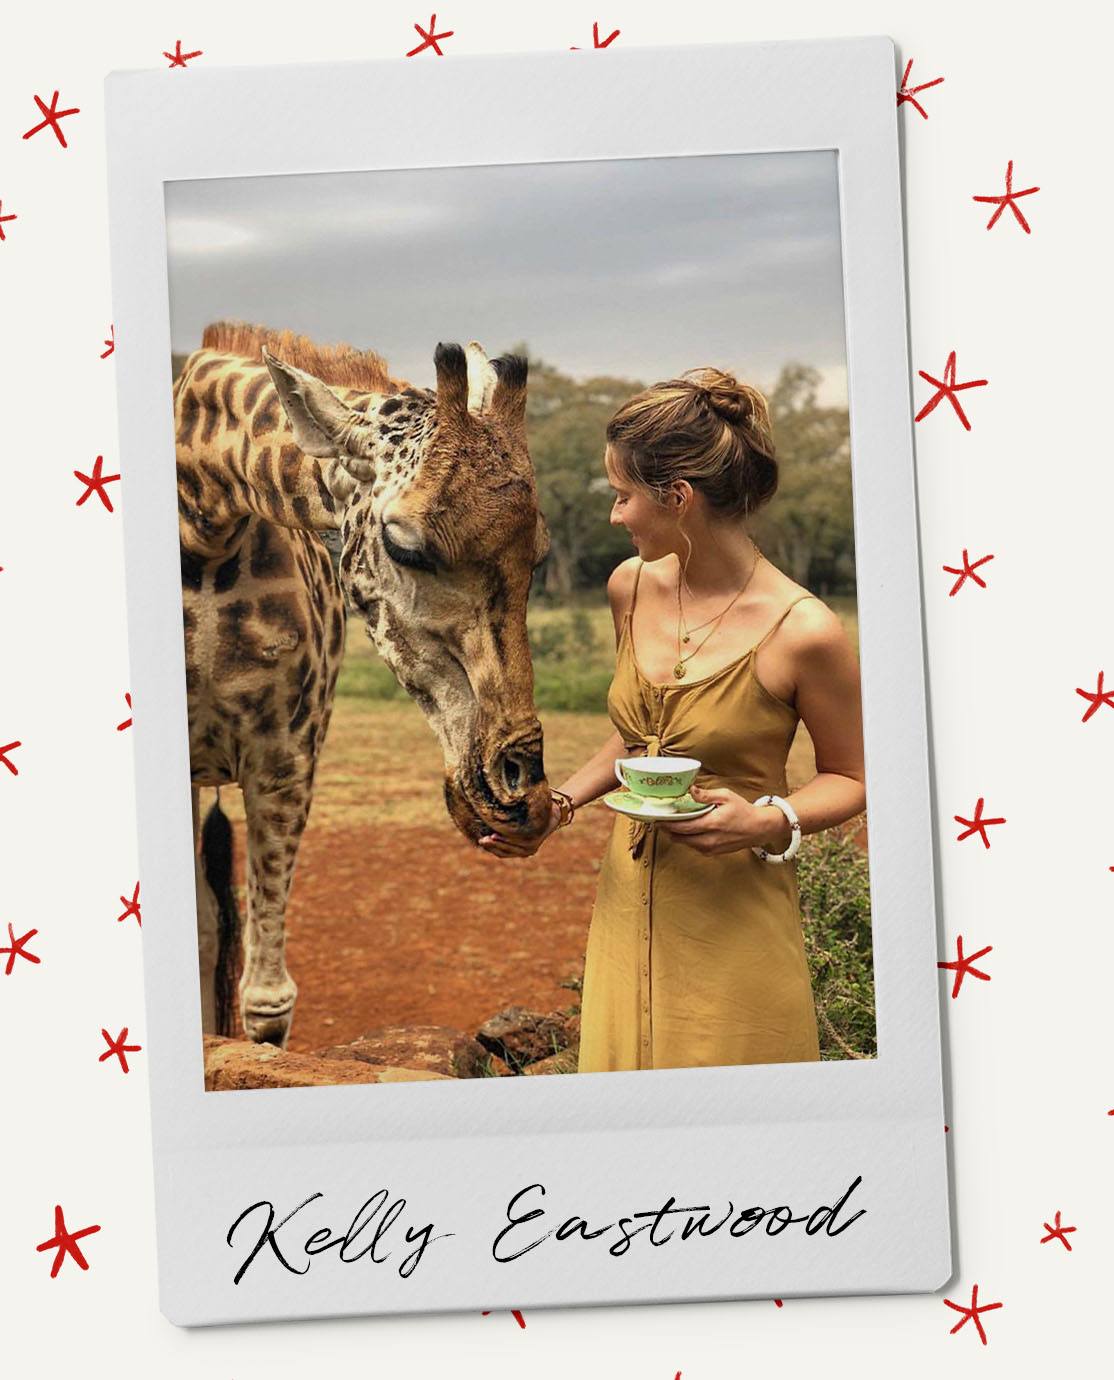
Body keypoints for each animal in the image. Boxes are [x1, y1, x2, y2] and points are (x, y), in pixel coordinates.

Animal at [173, 322, 552, 1043]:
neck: (202, 523)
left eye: (540, 556)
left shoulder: (286, 754)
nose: (522, 799)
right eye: (404, 546)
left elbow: (266, 1000)